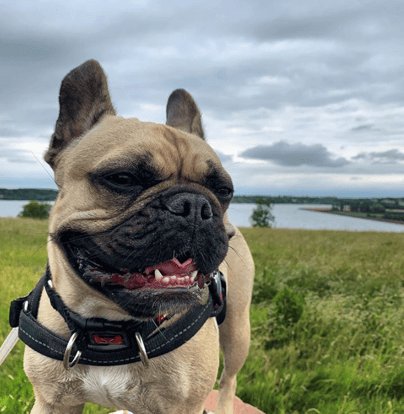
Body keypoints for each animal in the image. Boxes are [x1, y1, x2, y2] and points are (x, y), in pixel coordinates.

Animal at [21, 59, 252, 414]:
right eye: (123, 178)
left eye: (224, 191)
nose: (195, 206)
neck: (111, 325)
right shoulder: (51, 402)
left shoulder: (184, 406)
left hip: (238, 328)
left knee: (230, 379)